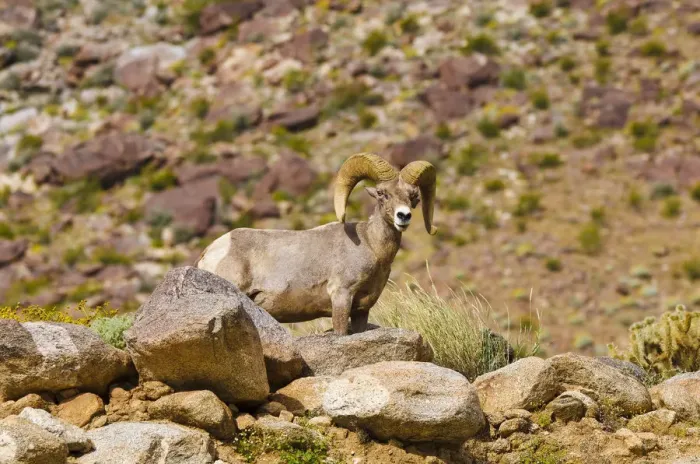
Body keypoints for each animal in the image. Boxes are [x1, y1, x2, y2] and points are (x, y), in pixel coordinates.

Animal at [195, 153, 437, 335]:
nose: (403, 216)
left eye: (413, 197)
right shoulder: (341, 297)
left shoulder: (361, 310)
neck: (371, 247)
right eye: (381, 193)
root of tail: (210, 252)